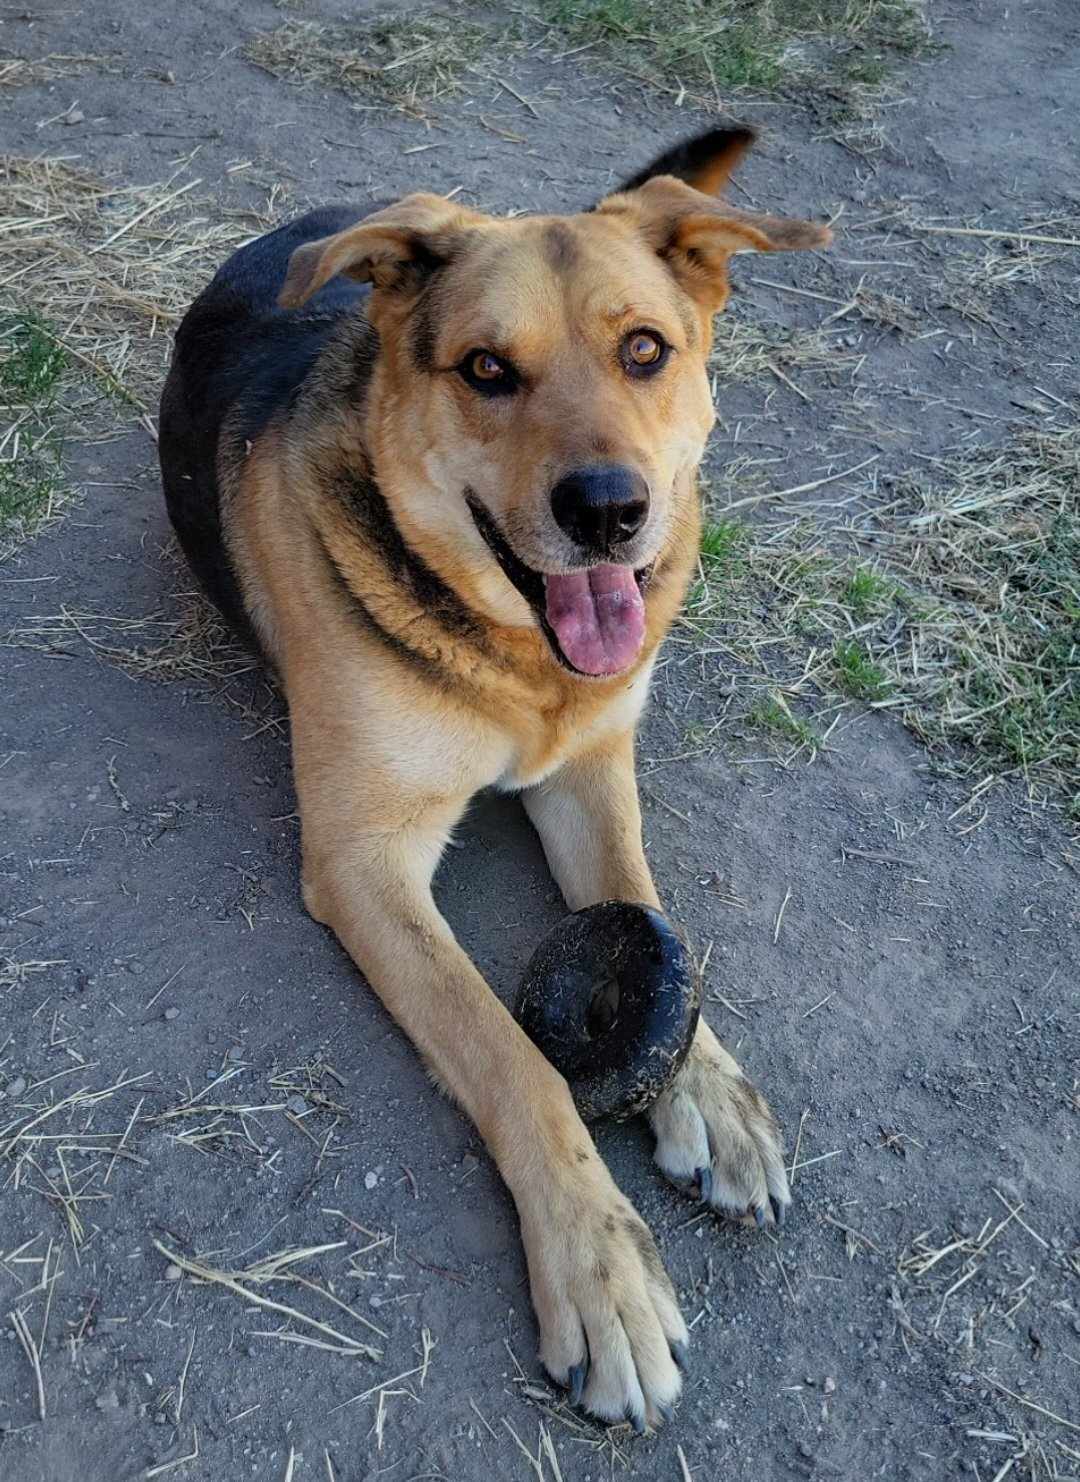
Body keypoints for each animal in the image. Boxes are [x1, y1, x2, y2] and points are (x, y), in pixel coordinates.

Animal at [160, 130, 829, 1434]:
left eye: (645, 351)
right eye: (485, 369)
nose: (611, 511)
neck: (521, 668)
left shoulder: (593, 770)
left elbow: (654, 917)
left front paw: (713, 1094)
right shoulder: (365, 863)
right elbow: (518, 1062)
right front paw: (602, 1272)